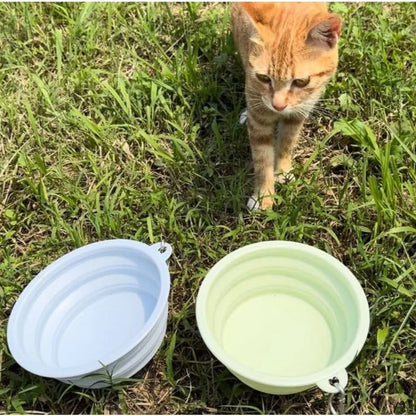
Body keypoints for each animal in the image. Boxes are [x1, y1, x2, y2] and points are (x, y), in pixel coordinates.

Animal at [231, 2, 342, 211]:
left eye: (301, 81)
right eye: (263, 78)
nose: (278, 106)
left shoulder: (298, 112)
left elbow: (287, 142)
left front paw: (282, 172)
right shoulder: (259, 120)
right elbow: (262, 159)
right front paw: (264, 196)